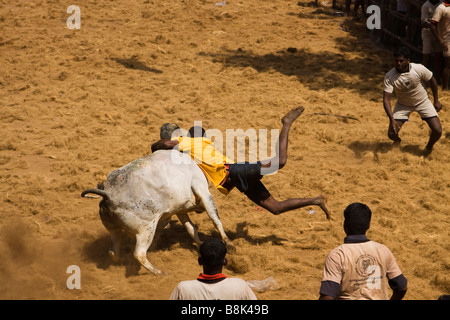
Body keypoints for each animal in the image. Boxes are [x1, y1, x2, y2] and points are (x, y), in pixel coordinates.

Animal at [81, 150, 236, 276]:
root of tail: (109, 194)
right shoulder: (203, 191)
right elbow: (215, 219)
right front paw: (230, 245)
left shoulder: (180, 210)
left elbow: (192, 230)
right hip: (146, 229)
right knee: (139, 254)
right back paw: (159, 273)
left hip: (115, 230)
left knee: (113, 252)